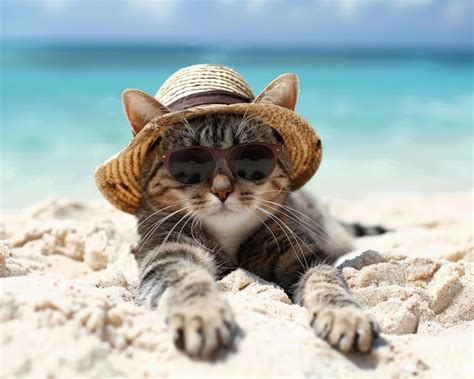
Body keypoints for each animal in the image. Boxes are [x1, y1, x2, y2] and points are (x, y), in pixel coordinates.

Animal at [123, 79, 386, 360]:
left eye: (251, 158)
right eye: (190, 162)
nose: (222, 190)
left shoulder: (299, 254)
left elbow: (325, 278)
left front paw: (345, 314)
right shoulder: (167, 250)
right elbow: (185, 278)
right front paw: (201, 312)